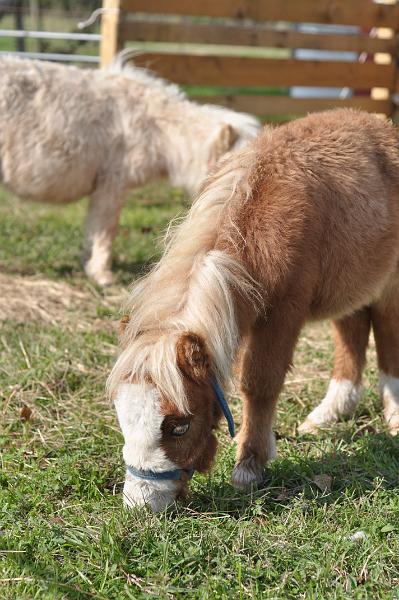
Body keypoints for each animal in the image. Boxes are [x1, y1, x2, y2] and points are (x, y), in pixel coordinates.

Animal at [0, 52, 260, 286]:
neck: (155, 125)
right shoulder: (112, 184)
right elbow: (106, 230)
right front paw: (102, 275)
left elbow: (93, 228)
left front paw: (88, 264)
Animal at [108, 109, 399, 510]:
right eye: (121, 415)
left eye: (179, 426)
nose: (141, 504)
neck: (258, 219)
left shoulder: (283, 313)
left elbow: (259, 382)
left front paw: (249, 466)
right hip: (350, 283)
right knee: (353, 332)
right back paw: (328, 414)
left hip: (389, 284)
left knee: (386, 334)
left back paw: (394, 417)